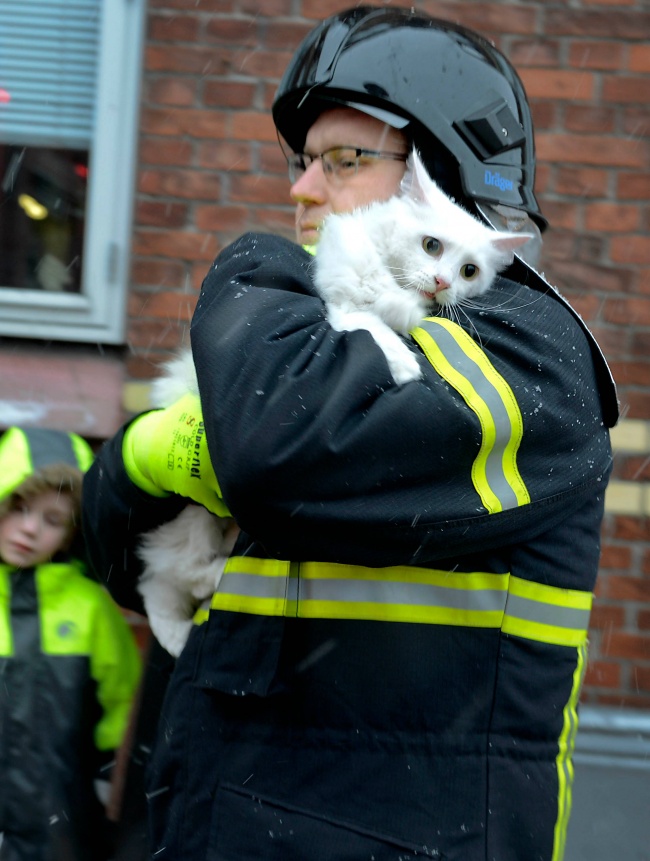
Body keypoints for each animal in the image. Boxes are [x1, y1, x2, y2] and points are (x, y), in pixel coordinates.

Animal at [314, 149, 532, 384]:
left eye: (469, 271)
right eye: (431, 245)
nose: (442, 282)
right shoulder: (342, 293)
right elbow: (369, 321)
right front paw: (403, 363)